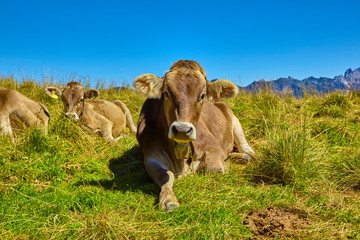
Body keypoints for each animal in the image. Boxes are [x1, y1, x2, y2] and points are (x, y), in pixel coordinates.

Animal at [134, 60, 255, 212]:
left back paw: (247, 155)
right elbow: (165, 175)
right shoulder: (150, 156)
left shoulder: (213, 147)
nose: (182, 129)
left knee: (245, 147)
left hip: (235, 121)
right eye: (166, 93)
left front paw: (225, 166)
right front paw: (169, 200)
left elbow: (214, 170)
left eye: (202, 95)